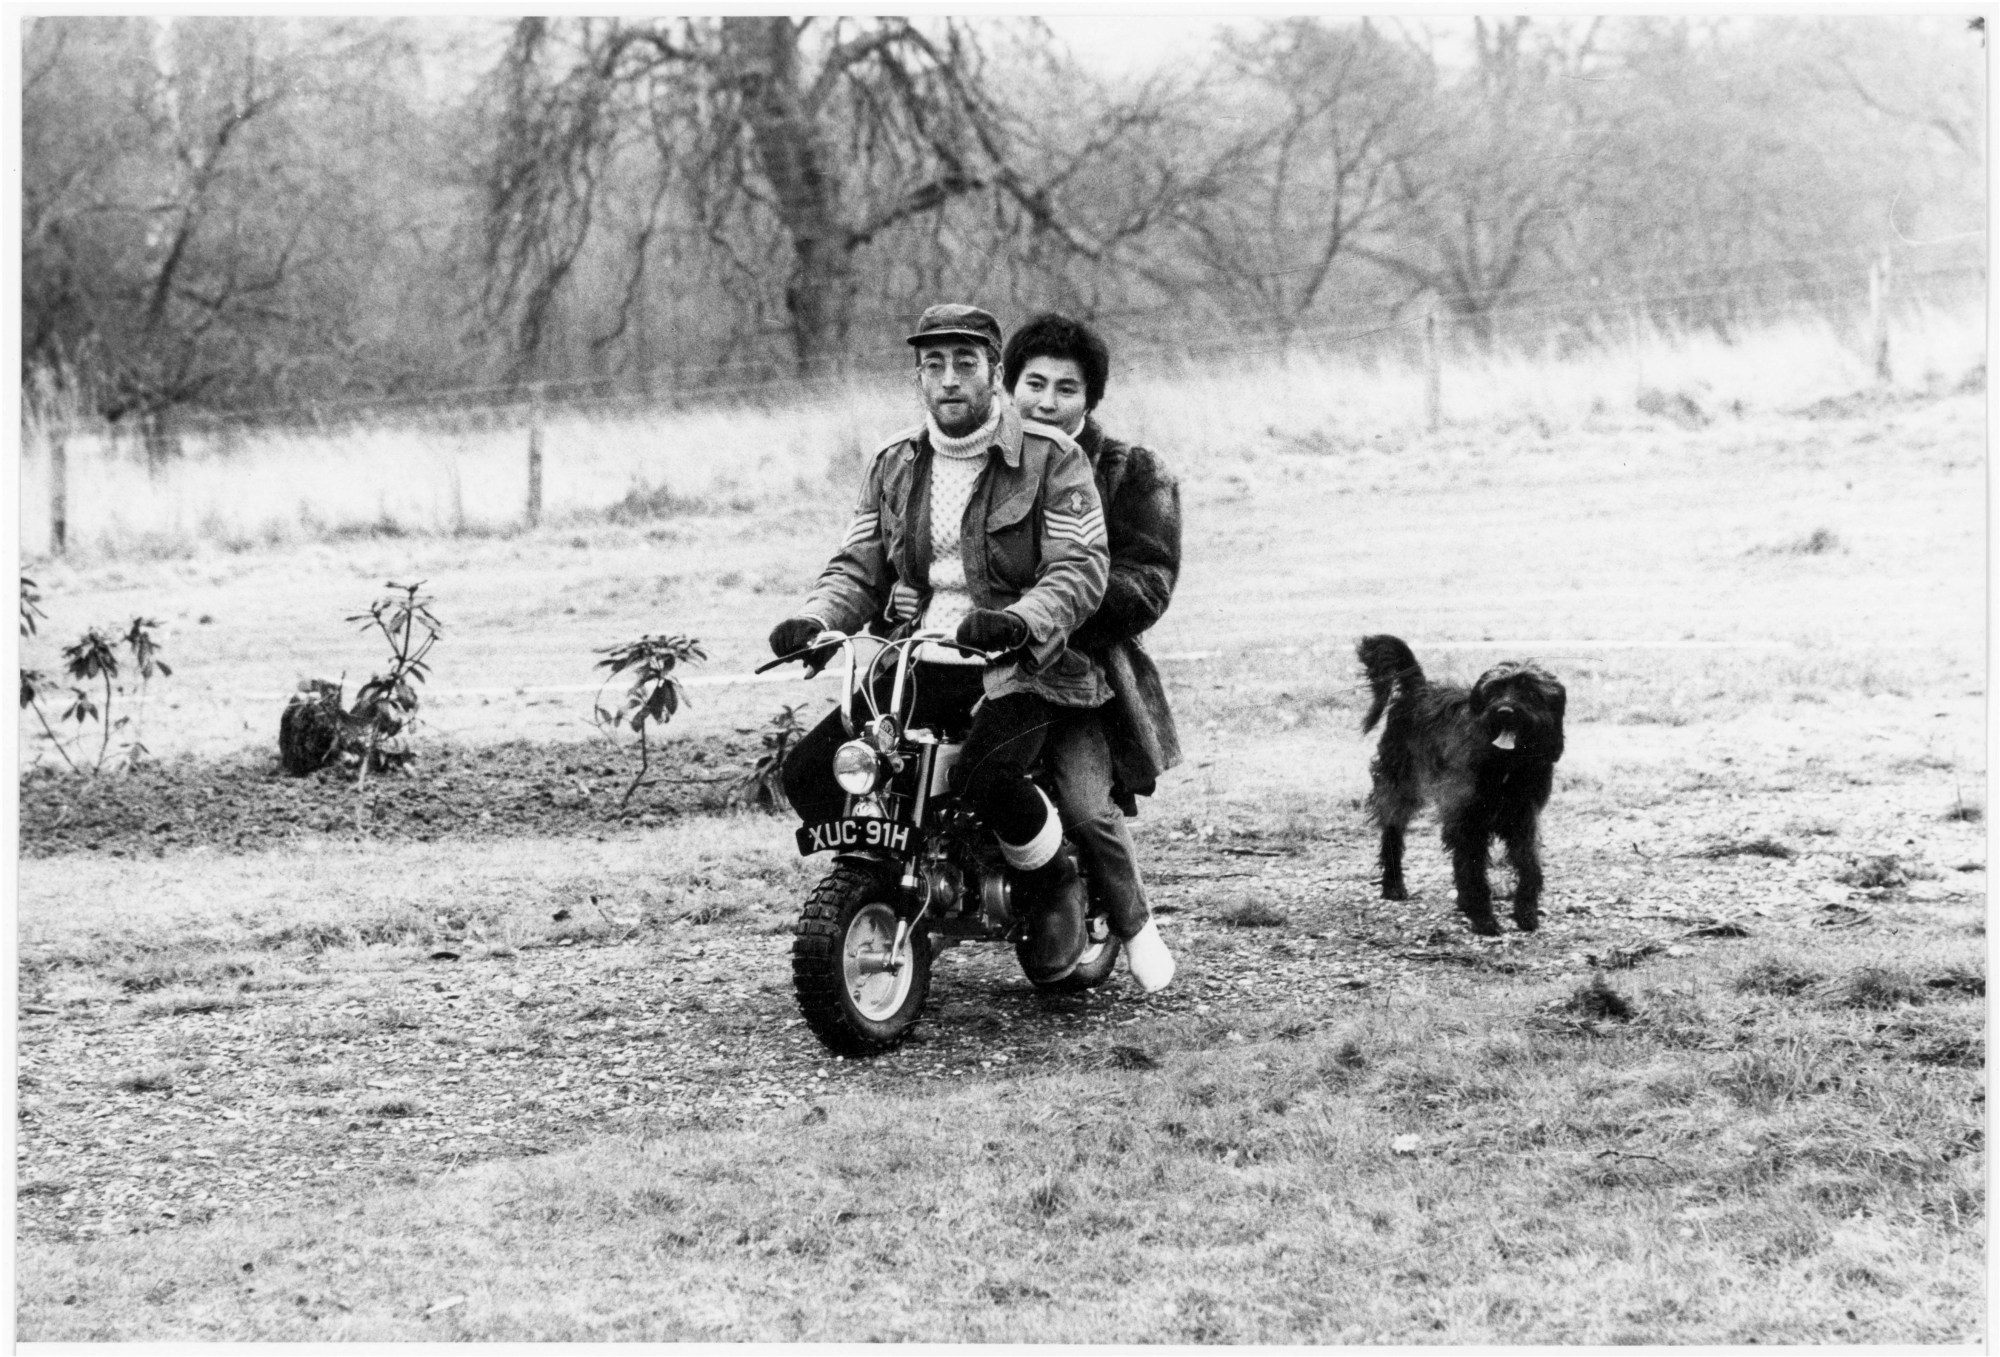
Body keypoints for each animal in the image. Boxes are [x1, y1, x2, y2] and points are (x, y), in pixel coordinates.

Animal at [1360, 636, 1560, 936]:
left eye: (1529, 691)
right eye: (1494, 690)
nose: (1504, 711)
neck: (1505, 765)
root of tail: (1417, 687)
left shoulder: (1523, 817)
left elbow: (1529, 865)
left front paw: (1525, 912)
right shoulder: (1468, 816)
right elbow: (1473, 869)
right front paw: (1484, 918)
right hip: (1399, 784)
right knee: (1392, 832)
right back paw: (1394, 885)